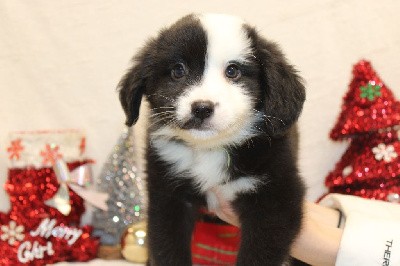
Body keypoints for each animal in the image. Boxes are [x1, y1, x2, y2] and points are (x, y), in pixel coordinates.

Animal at [119, 14, 306, 266]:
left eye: (233, 71)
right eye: (178, 71)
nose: (202, 108)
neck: (209, 150)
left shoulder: (276, 197)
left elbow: (258, 254)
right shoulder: (167, 194)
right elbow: (167, 247)